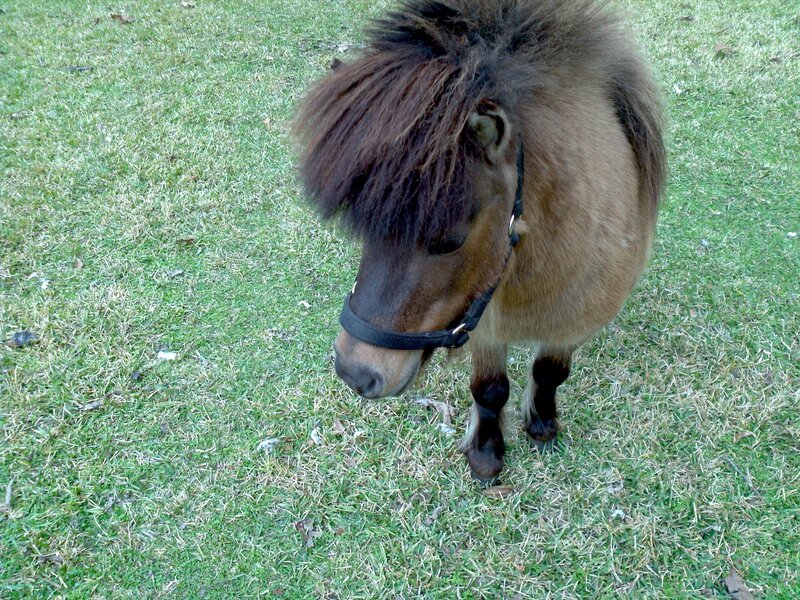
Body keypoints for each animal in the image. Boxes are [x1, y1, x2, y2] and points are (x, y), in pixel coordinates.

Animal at [295, 0, 666, 482]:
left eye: (450, 240)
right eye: (363, 227)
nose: (355, 372)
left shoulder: (574, 319)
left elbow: (550, 371)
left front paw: (542, 424)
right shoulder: (485, 325)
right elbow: (490, 389)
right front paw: (487, 453)